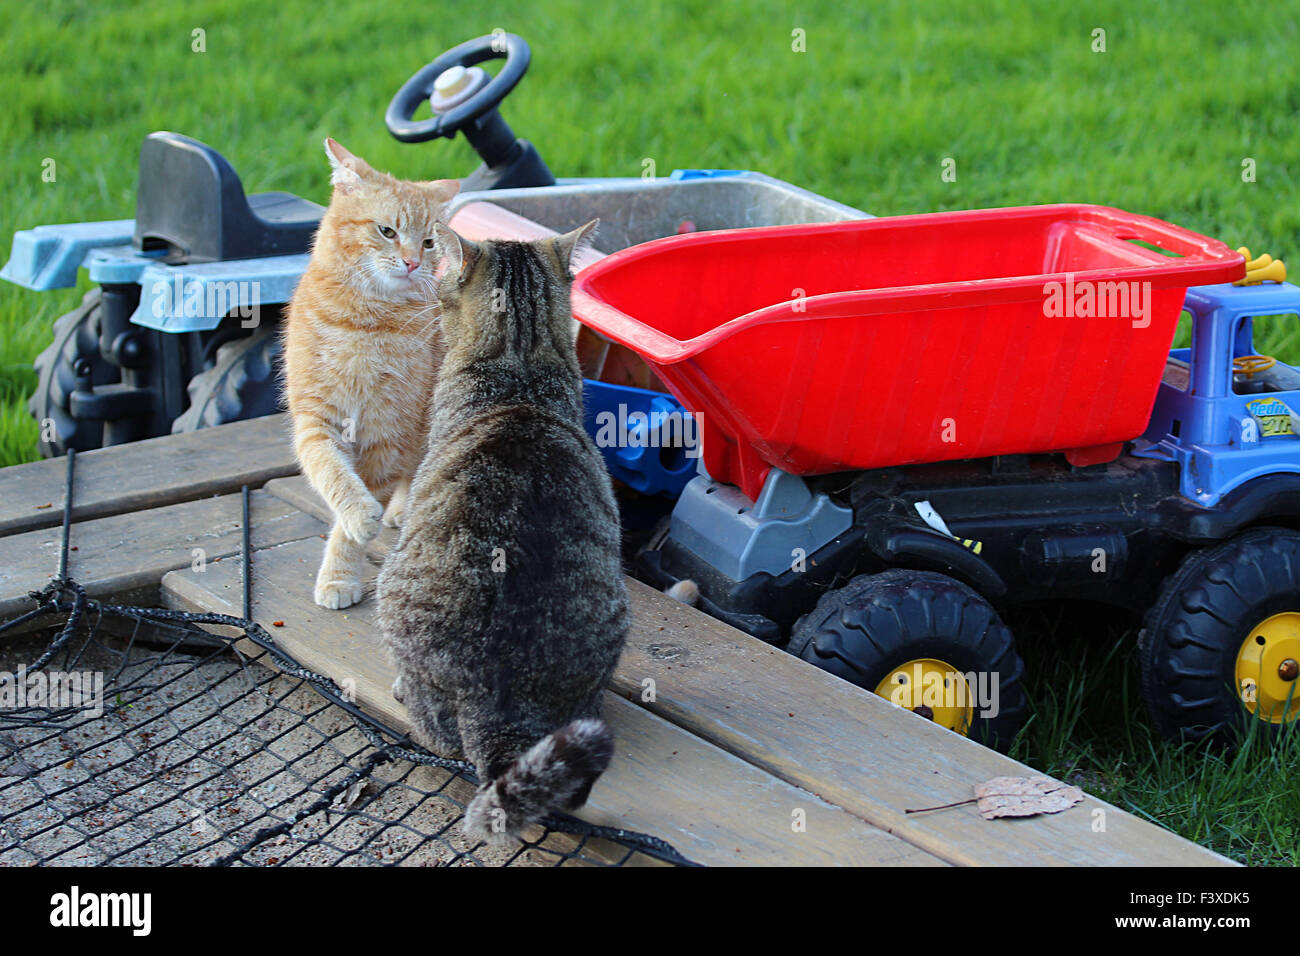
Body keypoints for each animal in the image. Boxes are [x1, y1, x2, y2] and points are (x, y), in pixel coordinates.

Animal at [282, 138, 460, 608]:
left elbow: (351, 525)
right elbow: (334, 476)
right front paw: (360, 516)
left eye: (429, 242)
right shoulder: (317, 421)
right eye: (387, 232)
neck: (365, 323)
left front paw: (340, 572)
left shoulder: (387, 435)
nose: (413, 263)